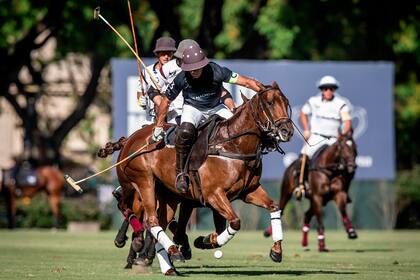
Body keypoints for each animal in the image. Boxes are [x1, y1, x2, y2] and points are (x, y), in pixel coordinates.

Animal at [113, 82, 294, 268]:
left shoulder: (248, 191)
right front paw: (206, 241)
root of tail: (130, 139)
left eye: (286, 102)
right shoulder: (213, 194)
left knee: (159, 221)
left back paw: (160, 257)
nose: (287, 131)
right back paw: (152, 249)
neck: (233, 146)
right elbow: (235, 222)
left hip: (167, 195)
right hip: (143, 182)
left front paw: (276, 251)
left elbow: (274, 206)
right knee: (144, 217)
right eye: (270, 103)